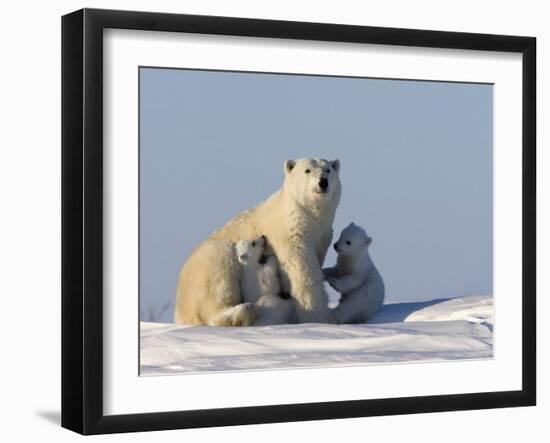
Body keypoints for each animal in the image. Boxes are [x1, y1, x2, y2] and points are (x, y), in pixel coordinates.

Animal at [175, 158, 342, 324]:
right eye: (307, 170)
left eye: (328, 170)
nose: (323, 182)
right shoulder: (291, 236)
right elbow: (302, 271)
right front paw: (319, 316)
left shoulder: (322, 236)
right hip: (209, 263)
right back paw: (243, 310)